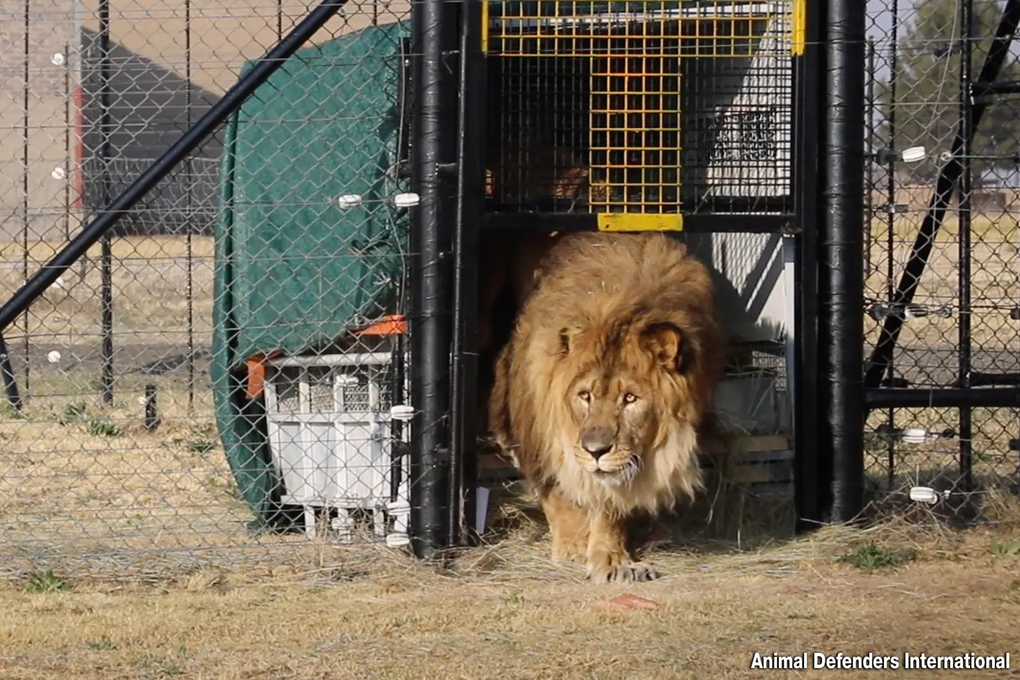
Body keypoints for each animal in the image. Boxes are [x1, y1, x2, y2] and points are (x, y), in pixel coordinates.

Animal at [487, 231, 722, 583]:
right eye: (585, 396)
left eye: (630, 399)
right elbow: (559, 491)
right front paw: (572, 547)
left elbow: (610, 503)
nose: (596, 450)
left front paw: (612, 560)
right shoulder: (539, 429)